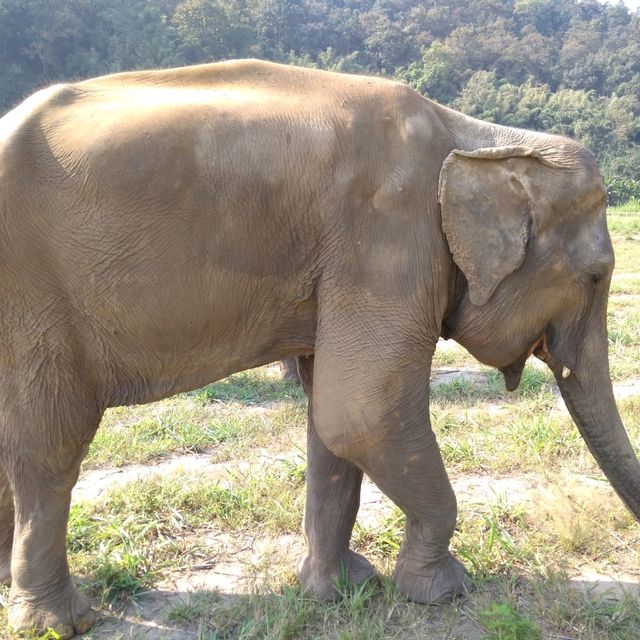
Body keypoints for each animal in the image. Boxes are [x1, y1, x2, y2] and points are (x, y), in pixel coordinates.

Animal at [0, 58, 636, 636]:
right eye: (597, 276)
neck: (476, 137)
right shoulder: (388, 237)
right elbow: (362, 414)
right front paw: (442, 591)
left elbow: (331, 422)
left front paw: (341, 590)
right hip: (35, 303)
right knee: (50, 447)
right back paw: (62, 622)